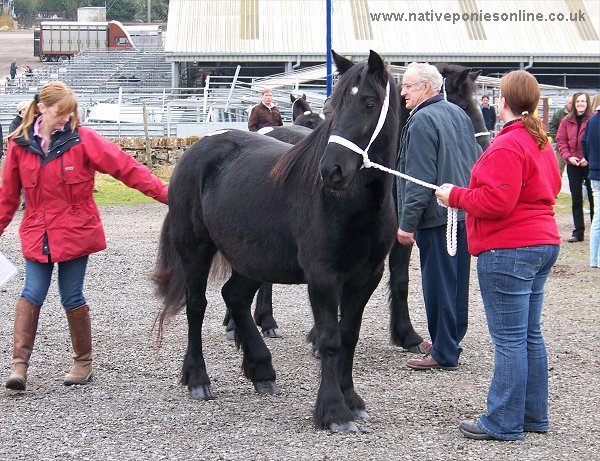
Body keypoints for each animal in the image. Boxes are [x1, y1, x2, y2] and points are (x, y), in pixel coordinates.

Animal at [152, 50, 400, 432]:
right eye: (332, 106)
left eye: (370, 103)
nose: (332, 171)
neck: (350, 203)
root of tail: (196, 150)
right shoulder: (323, 277)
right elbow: (330, 339)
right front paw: (334, 411)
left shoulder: (366, 277)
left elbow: (349, 336)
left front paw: (351, 399)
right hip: (195, 249)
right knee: (196, 306)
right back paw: (198, 379)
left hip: (253, 259)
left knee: (235, 297)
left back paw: (261, 370)